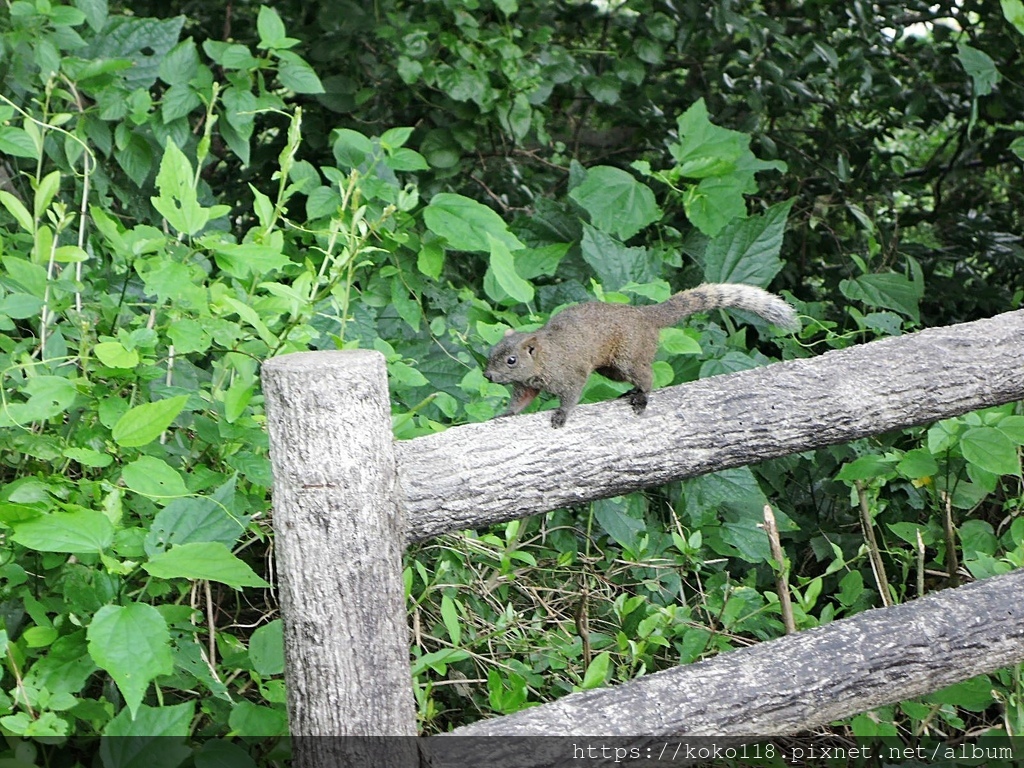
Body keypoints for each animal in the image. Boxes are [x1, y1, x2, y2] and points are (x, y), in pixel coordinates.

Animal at [485, 284, 798, 430]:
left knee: (648, 376)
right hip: (612, 370)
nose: (487, 375)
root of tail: (646, 317)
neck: (543, 358)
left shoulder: (570, 373)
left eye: (512, 360)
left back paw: (642, 397)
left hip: (628, 358)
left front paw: (562, 415)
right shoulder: (526, 385)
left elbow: (571, 396)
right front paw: (505, 413)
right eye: (492, 353)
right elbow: (521, 400)